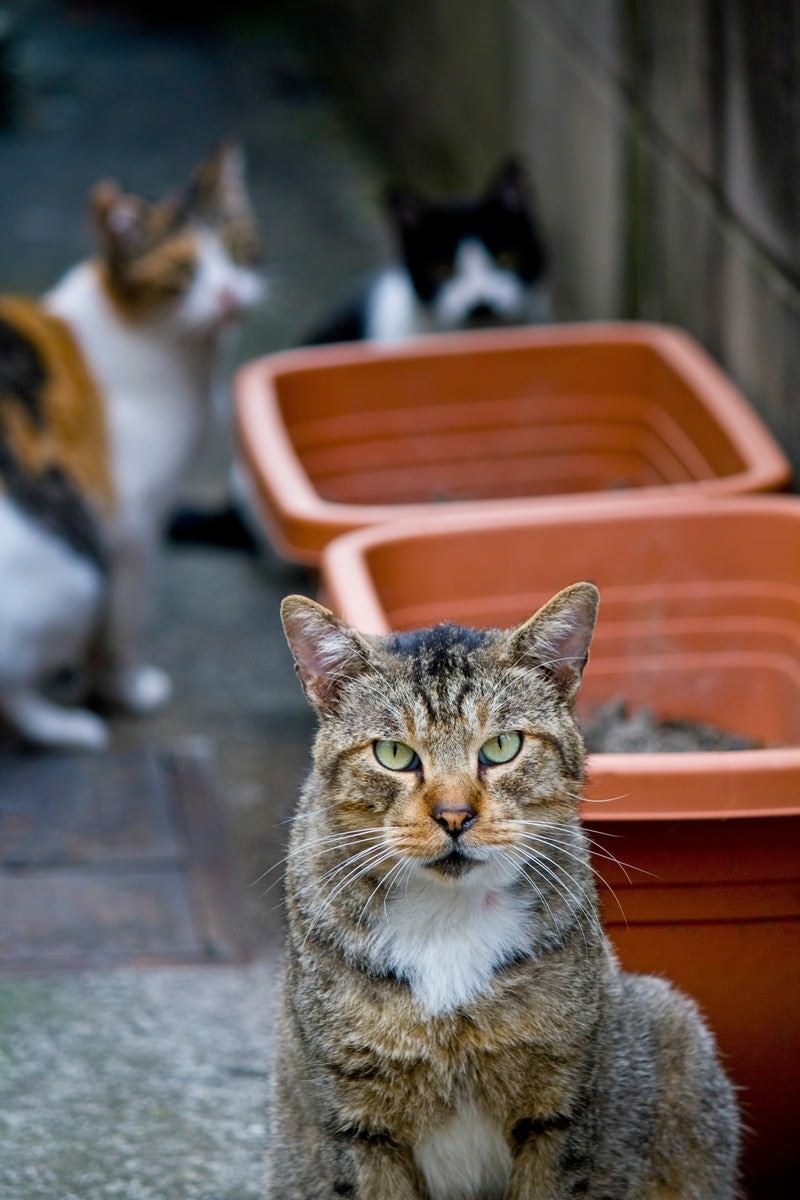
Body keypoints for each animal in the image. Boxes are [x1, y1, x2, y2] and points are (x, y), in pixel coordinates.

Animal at [0, 142, 261, 748]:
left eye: (238, 247)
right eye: (182, 270)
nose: (230, 294)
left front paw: (93, 678)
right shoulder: (132, 524)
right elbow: (128, 618)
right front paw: (128, 690)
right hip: (76, 571)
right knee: (12, 688)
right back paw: (68, 726)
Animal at [272, 588, 743, 1200]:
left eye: (502, 746)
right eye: (394, 754)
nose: (454, 815)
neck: (446, 919)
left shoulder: (561, 1107)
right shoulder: (355, 1121)